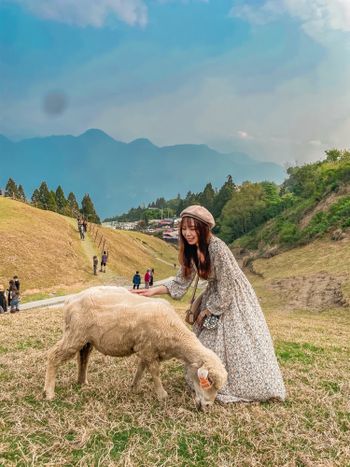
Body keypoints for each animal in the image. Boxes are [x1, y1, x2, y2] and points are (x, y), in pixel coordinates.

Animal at [43, 286, 227, 410]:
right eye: (208, 381)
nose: (207, 407)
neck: (176, 336)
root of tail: (70, 300)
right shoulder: (150, 350)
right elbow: (155, 373)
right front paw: (162, 395)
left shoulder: (146, 349)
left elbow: (141, 369)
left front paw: (134, 387)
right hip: (75, 334)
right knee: (53, 355)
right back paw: (49, 392)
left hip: (86, 339)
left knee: (83, 357)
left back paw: (82, 382)